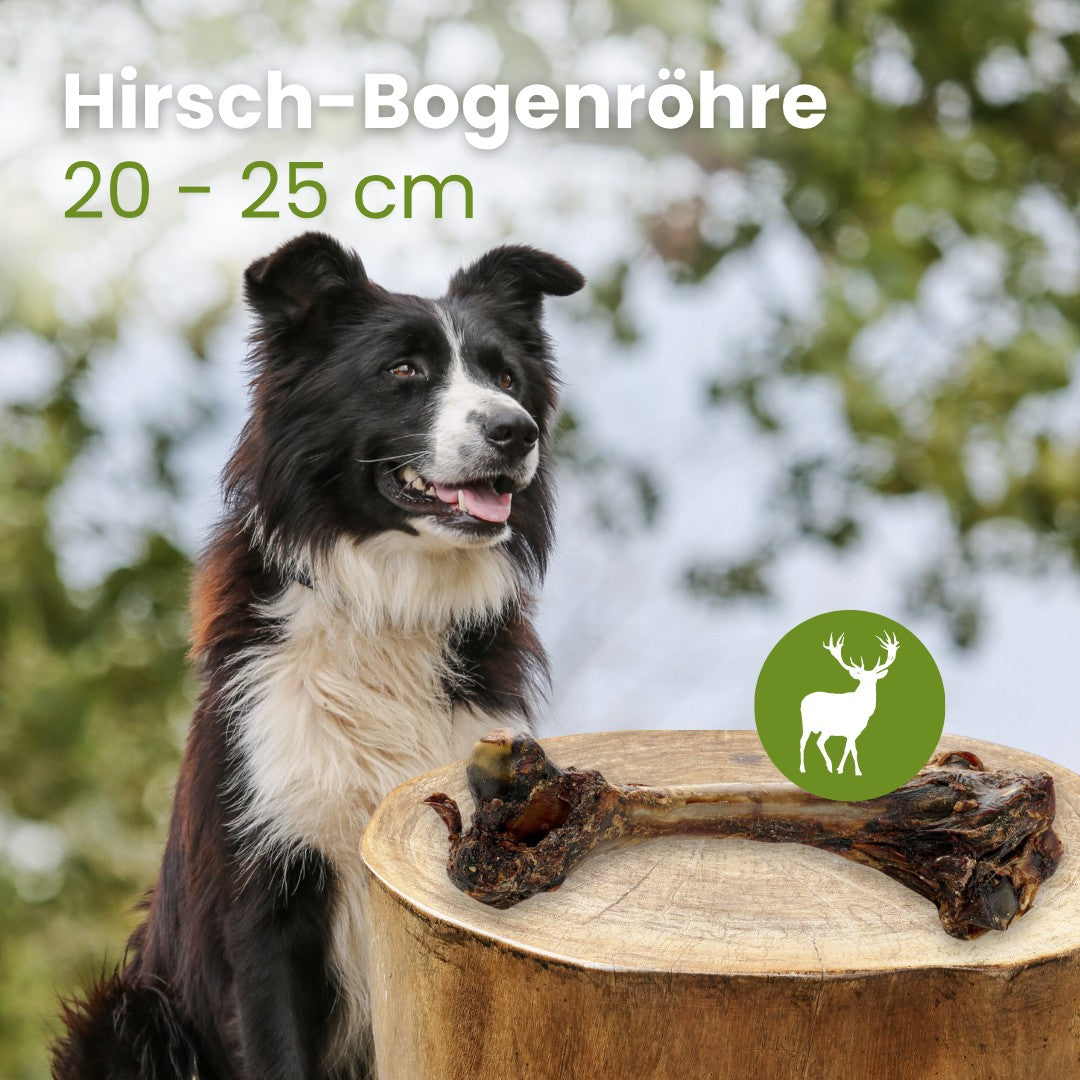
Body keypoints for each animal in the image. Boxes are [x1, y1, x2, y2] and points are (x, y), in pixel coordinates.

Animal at [799, 631, 900, 777]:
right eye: (861, 679)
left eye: (875, 678)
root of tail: (803, 700)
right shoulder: (851, 730)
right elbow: (851, 750)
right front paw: (846, 770)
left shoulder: (854, 732)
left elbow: (850, 749)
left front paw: (850, 770)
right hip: (808, 724)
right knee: (804, 741)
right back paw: (804, 768)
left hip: (825, 729)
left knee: (818, 742)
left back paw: (829, 766)